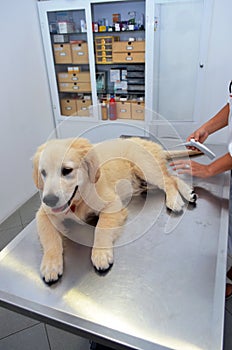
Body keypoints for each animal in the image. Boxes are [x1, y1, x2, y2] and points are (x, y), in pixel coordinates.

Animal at [32, 137, 197, 284]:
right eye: (43, 173)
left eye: (67, 170)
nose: (49, 200)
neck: (78, 200)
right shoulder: (43, 214)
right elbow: (50, 237)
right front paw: (50, 264)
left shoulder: (112, 203)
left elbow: (101, 228)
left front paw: (100, 253)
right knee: (173, 177)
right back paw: (188, 193)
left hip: (146, 167)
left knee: (168, 180)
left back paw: (174, 200)